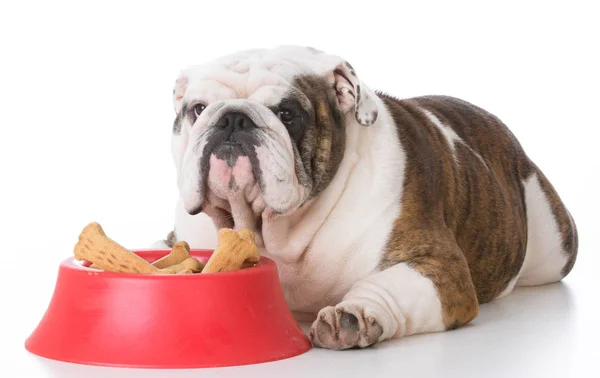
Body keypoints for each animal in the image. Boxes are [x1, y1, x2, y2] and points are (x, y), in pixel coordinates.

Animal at [154, 45, 576, 350]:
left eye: (288, 113)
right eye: (197, 110)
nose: (233, 119)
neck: (275, 228)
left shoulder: (438, 265)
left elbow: (387, 287)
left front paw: (353, 314)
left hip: (553, 247)